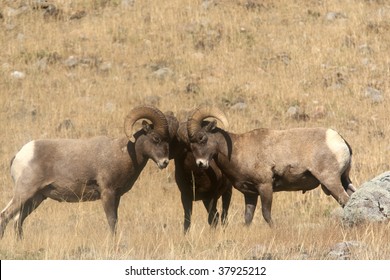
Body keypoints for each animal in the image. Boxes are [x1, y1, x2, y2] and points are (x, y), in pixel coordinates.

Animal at [0, 105, 171, 238]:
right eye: (156, 138)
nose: (165, 162)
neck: (123, 153)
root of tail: (20, 154)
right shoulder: (107, 194)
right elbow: (112, 222)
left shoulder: (116, 196)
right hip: (24, 193)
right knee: (5, 216)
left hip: (36, 198)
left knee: (17, 221)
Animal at [187, 106, 354, 226]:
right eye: (190, 144)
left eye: (202, 138)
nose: (200, 163)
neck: (237, 150)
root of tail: (340, 140)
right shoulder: (250, 194)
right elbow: (248, 218)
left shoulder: (265, 186)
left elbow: (266, 215)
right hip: (344, 180)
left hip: (330, 181)